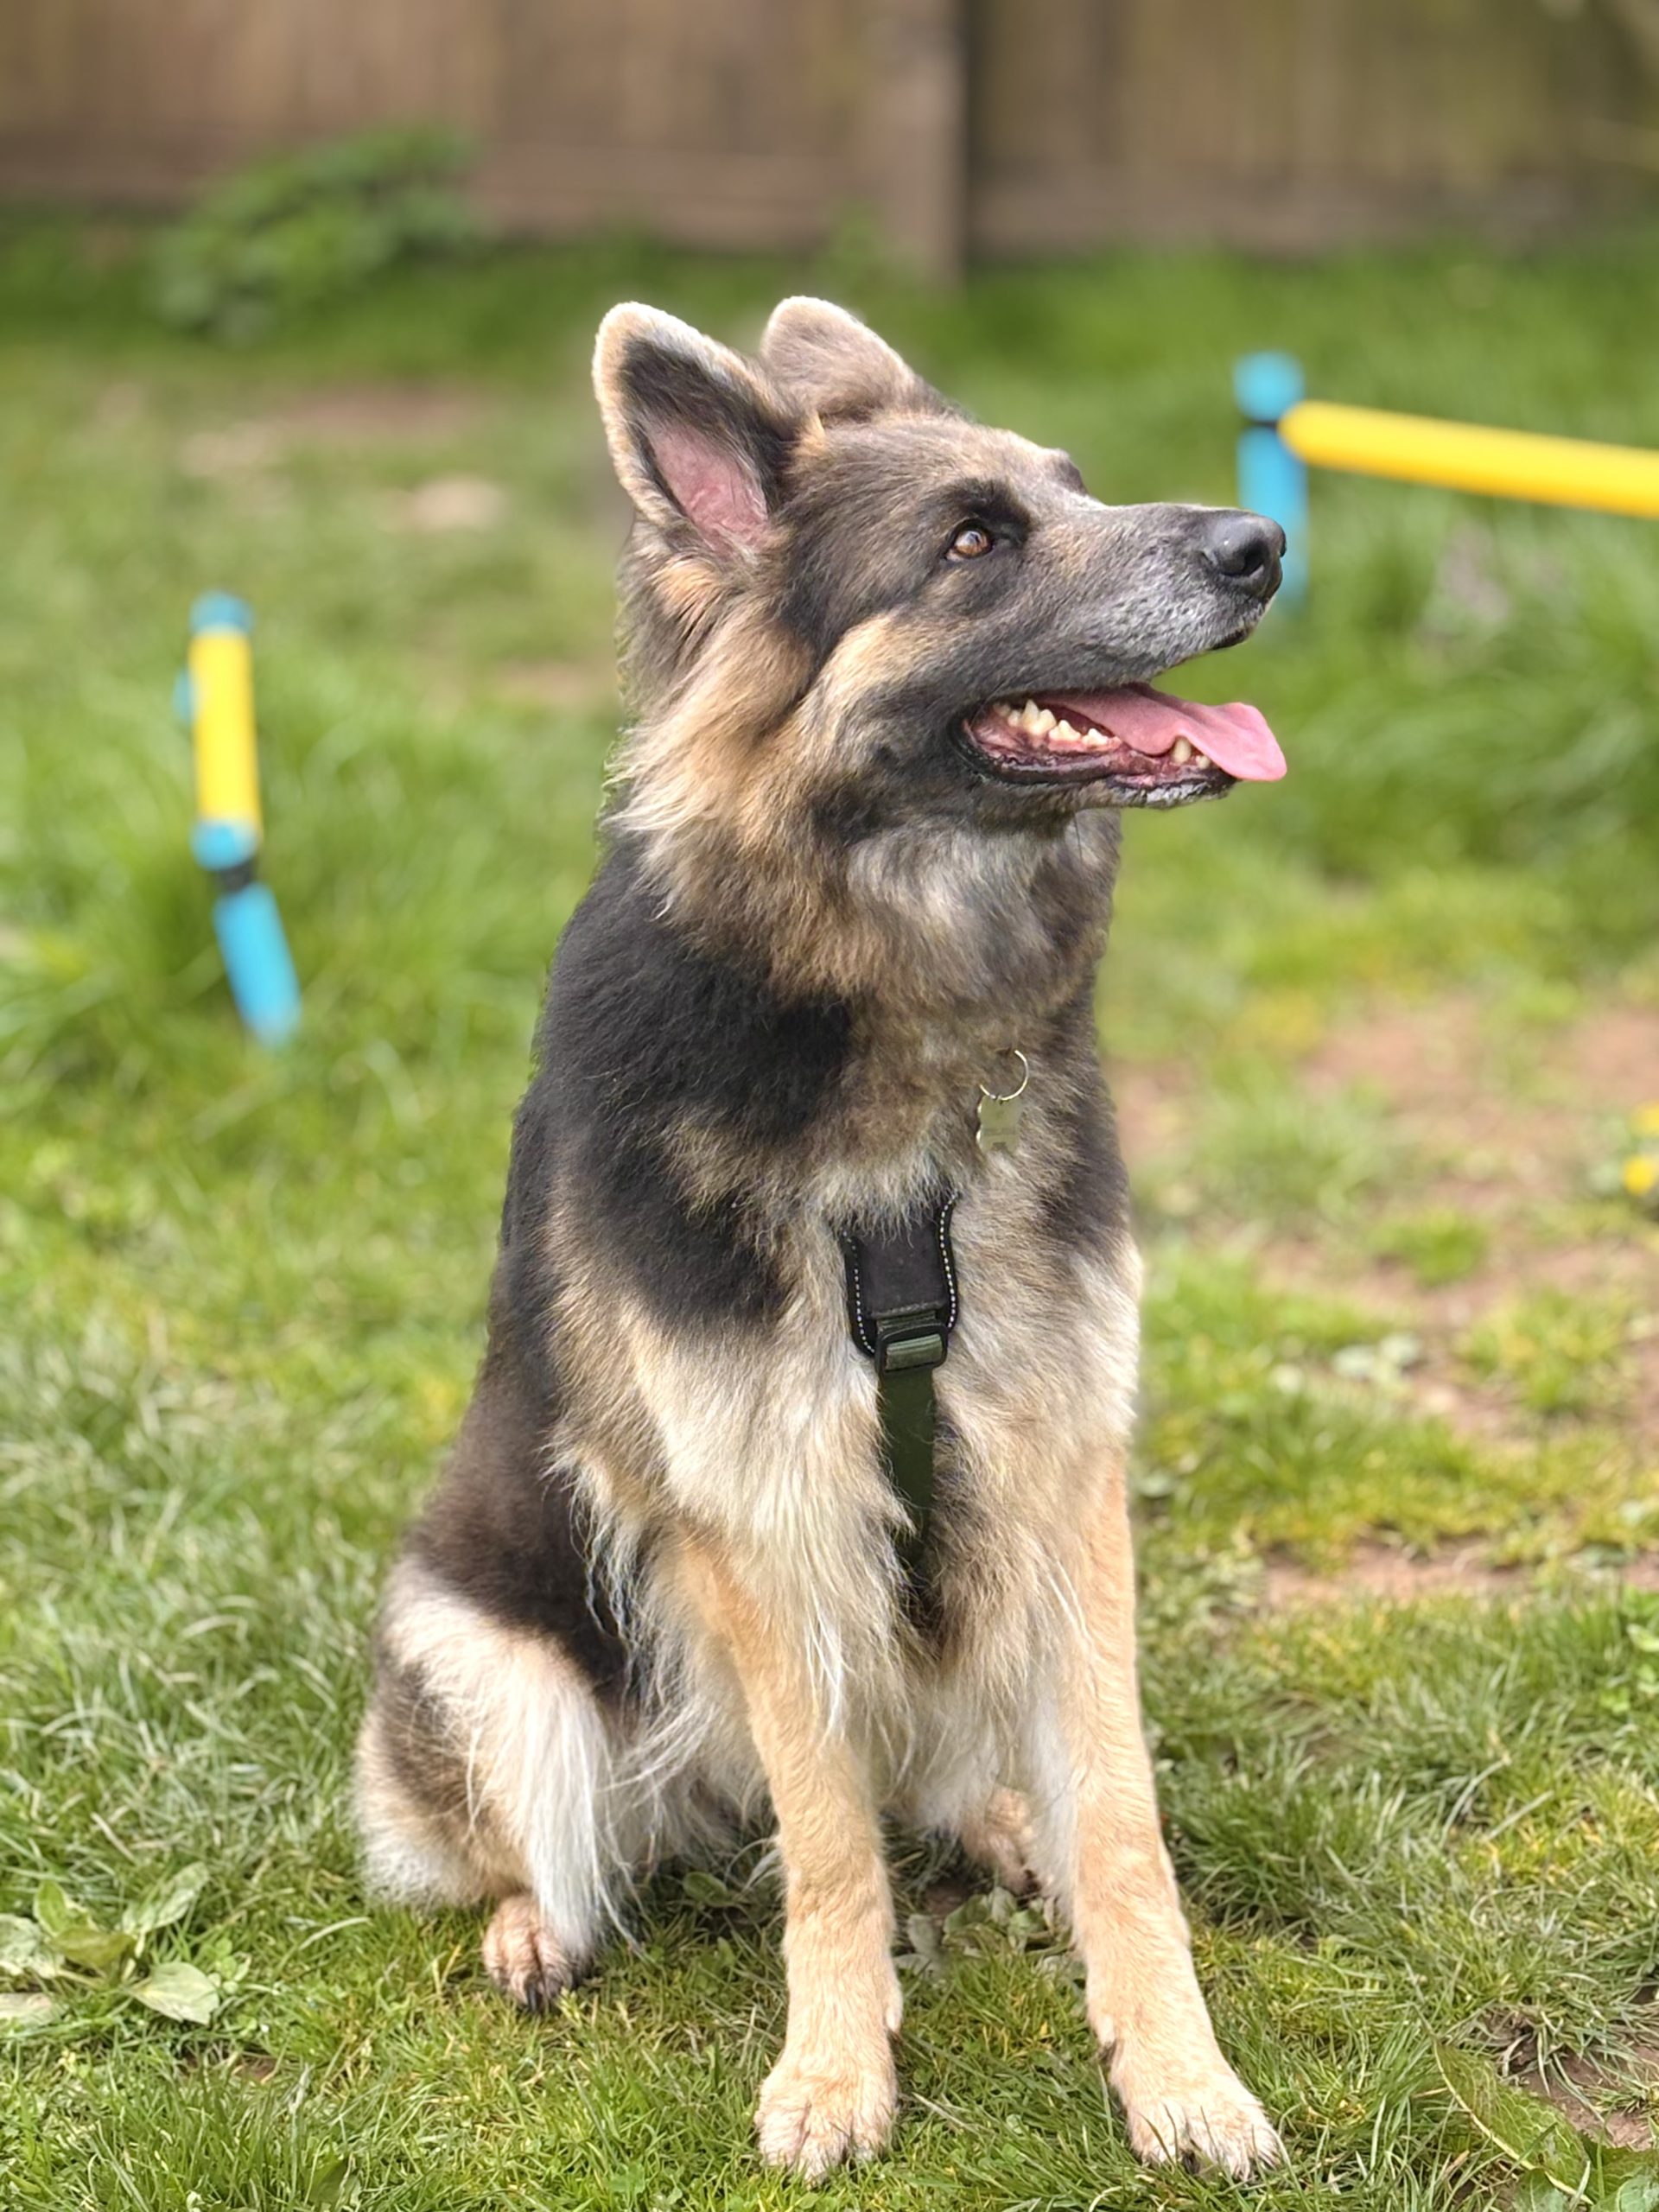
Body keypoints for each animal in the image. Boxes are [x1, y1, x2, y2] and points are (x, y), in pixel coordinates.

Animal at [356, 296, 1288, 2180]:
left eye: (1075, 485)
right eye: (973, 542)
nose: (1262, 545)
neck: (891, 1025)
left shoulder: (1065, 1472)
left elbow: (1122, 1815)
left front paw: (1177, 2069)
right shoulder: (759, 1503)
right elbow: (836, 1841)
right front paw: (838, 2070)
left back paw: (1005, 1824)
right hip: (489, 1656)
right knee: (561, 1840)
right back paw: (539, 1921)